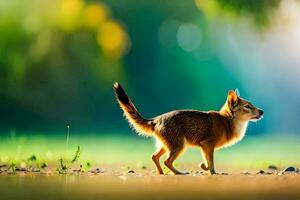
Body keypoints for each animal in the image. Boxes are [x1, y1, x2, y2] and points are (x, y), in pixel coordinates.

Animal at [113, 82, 264, 174]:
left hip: (167, 145)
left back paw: (161, 173)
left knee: (154, 157)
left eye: (252, 105)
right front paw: (211, 172)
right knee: (167, 161)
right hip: (180, 145)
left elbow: (207, 162)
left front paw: (205, 168)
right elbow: (210, 163)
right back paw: (179, 173)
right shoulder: (208, 144)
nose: (262, 111)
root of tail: (155, 119)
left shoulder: (204, 146)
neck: (227, 121)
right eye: (247, 107)